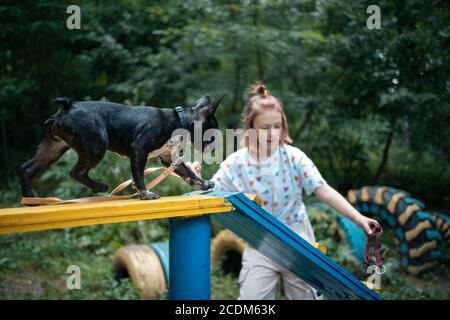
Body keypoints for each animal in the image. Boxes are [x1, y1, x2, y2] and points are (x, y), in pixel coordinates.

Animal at [19, 95, 223, 200]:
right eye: (212, 135)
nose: (214, 148)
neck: (179, 121)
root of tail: (67, 107)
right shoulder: (139, 149)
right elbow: (138, 175)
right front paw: (145, 193)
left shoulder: (168, 158)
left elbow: (188, 172)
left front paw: (203, 184)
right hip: (97, 145)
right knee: (76, 172)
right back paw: (99, 187)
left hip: (52, 150)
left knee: (26, 168)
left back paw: (30, 199)